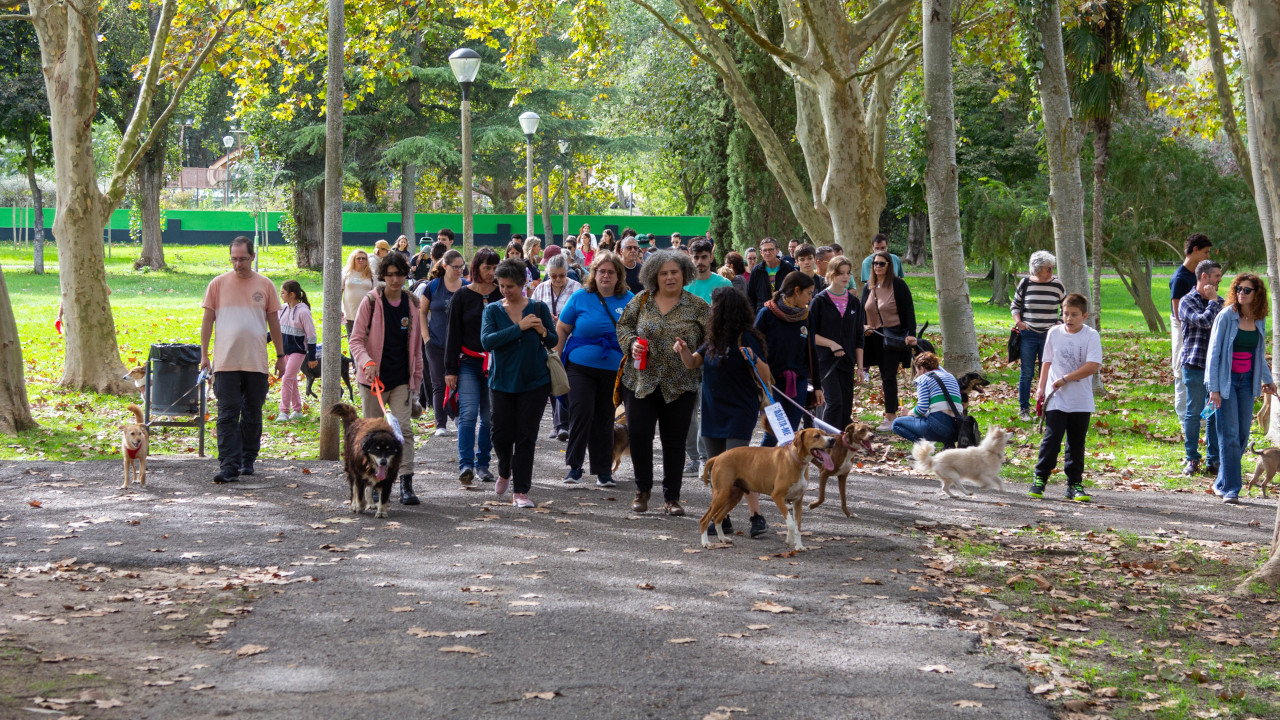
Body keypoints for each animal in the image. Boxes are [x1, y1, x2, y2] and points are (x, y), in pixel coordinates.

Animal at [701, 425, 839, 548]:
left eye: (826, 433)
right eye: (816, 436)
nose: (833, 440)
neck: (796, 460)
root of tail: (718, 457)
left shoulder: (797, 501)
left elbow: (798, 527)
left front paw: (798, 546)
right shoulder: (777, 496)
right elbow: (791, 524)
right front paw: (790, 541)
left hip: (734, 496)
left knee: (717, 518)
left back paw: (722, 538)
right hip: (722, 494)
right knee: (705, 519)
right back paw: (706, 543)